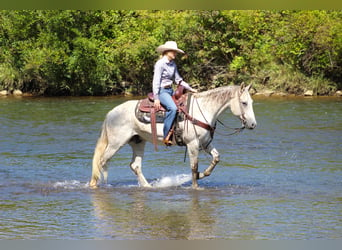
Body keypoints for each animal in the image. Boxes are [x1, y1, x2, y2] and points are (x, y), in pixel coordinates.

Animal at [89, 83, 255, 188]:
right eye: (244, 103)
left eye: (251, 102)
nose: (253, 124)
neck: (203, 110)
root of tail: (111, 113)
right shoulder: (193, 143)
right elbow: (194, 166)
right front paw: (195, 185)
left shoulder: (205, 142)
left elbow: (216, 158)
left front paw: (202, 175)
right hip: (116, 143)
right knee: (102, 161)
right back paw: (96, 184)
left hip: (138, 141)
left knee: (135, 165)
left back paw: (148, 186)